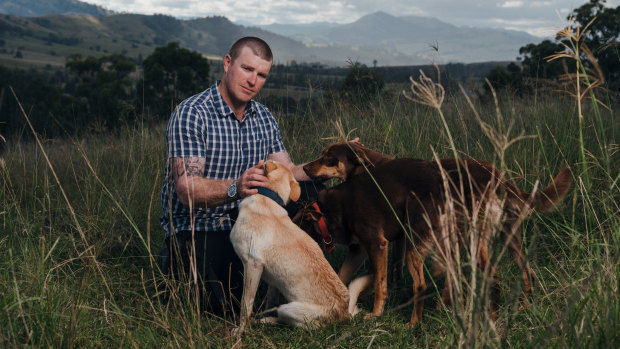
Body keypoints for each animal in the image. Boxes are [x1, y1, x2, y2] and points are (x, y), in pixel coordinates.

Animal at [231, 160, 368, 334]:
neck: (267, 196)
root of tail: (344, 314)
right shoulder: (273, 280)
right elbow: (270, 300)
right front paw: (262, 316)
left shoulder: (252, 265)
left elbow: (245, 306)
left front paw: (240, 331)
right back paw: (265, 320)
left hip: (288, 309)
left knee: (306, 326)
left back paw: (268, 321)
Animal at [302, 141, 572, 326]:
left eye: (328, 157)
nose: (304, 167)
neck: (369, 169)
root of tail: (497, 177)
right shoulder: (399, 239)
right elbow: (388, 272)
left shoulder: (386, 241)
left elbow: (382, 275)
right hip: (508, 237)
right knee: (527, 272)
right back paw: (522, 308)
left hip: (472, 240)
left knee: (490, 276)